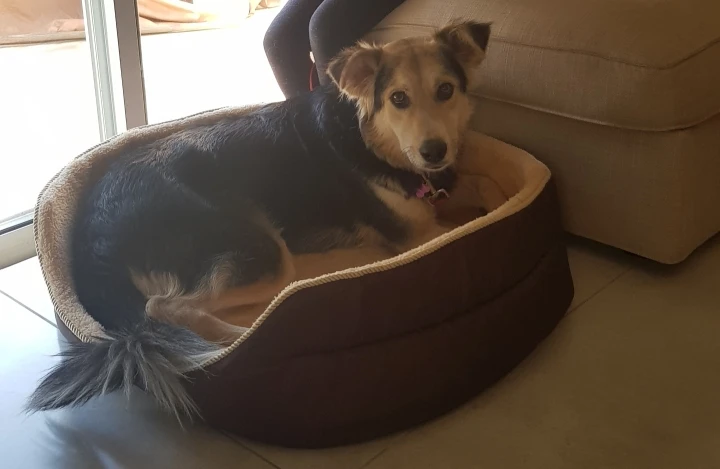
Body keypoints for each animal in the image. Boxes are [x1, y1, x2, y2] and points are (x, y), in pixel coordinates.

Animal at [27, 20, 492, 419]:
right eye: (398, 99)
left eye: (446, 90)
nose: (435, 152)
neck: (368, 139)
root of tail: (90, 229)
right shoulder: (417, 235)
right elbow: (467, 216)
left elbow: (480, 190)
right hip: (260, 251)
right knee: (165, 307)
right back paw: (238, 340)